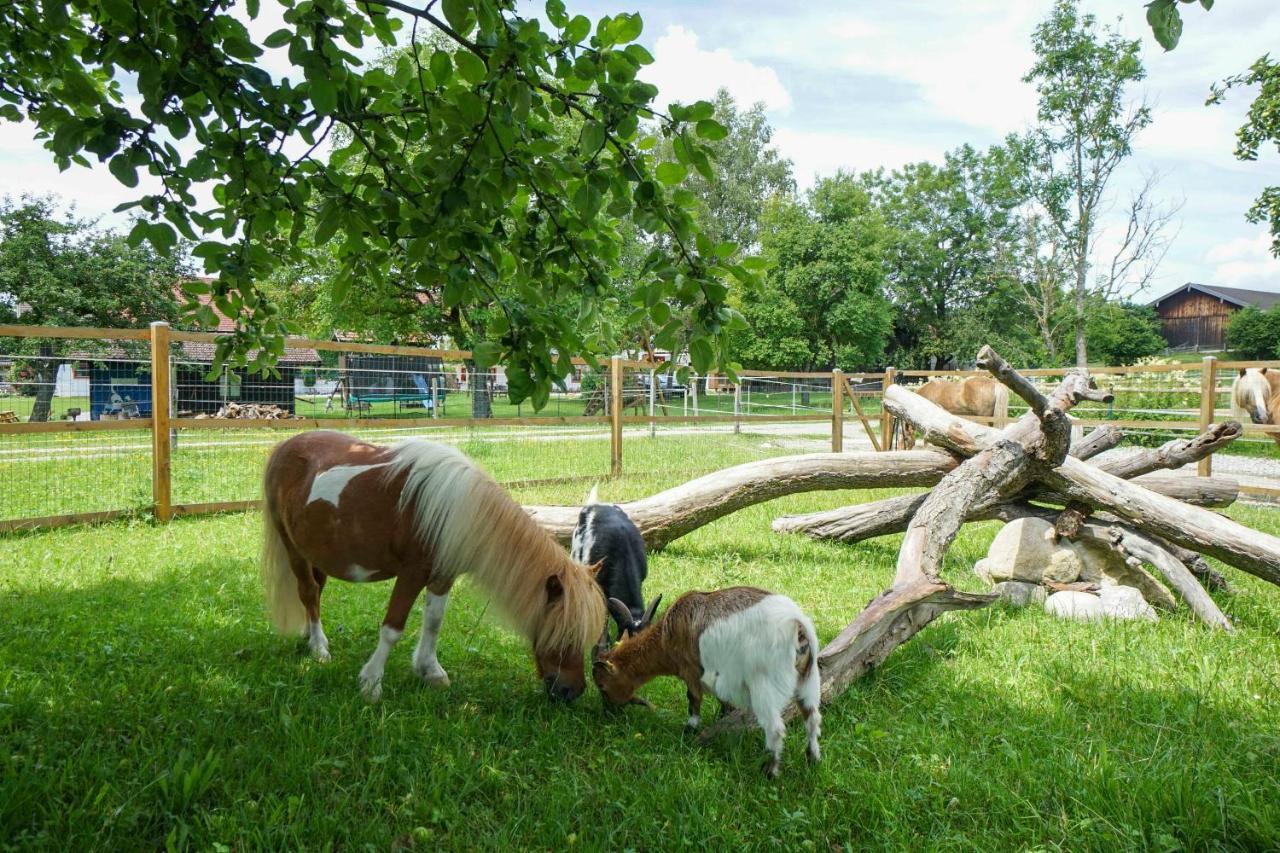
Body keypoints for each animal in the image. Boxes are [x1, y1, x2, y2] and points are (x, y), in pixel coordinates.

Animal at [262, 427, 606, 701]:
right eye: (566, 634)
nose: (572, 691)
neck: (456, 512)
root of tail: (284, 447)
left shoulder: (443, 576)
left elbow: (433, 622)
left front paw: (431, 671)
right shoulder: (411, 575)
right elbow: (393, 628)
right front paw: (371, 684)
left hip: (315, 554)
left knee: (315, 593)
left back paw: (310, 637)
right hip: (292, 548)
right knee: (308, 592)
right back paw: (320, 648)